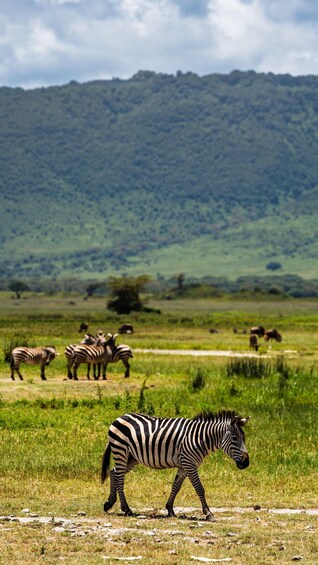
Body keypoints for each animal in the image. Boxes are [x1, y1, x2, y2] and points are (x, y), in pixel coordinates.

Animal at [100, 410, 250, 520]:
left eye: (244, 439)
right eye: (235, 439)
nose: (246, 463)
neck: (200, 438)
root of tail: (121, 417)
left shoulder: (184, 466)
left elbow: (176, 487)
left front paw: (170, 509)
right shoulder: (189, 464)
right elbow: (199, 488)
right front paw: (208, 513)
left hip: (132, 457)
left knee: (114, 472)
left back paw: (109, 503)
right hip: (121, 450)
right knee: (119, 477)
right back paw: (126, 509)